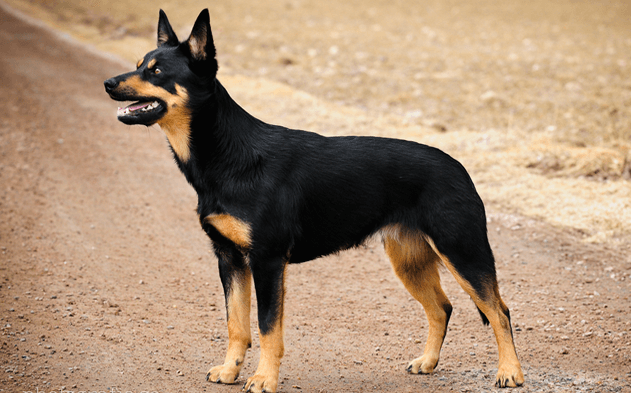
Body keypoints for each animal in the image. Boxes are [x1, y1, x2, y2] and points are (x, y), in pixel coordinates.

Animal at [105, 9, 524, 392]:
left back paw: (510, 373)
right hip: (409, 261)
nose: (108, 83)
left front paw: (263, 379)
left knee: (499, 311)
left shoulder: (267, 261)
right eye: (139, 65)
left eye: (158, 72)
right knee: (442, 309)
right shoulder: (230, 260)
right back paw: (428, 362)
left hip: (462, 253)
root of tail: (459, 168)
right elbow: (236, 325)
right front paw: (230, 371)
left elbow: (267, 327)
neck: (229, 155)